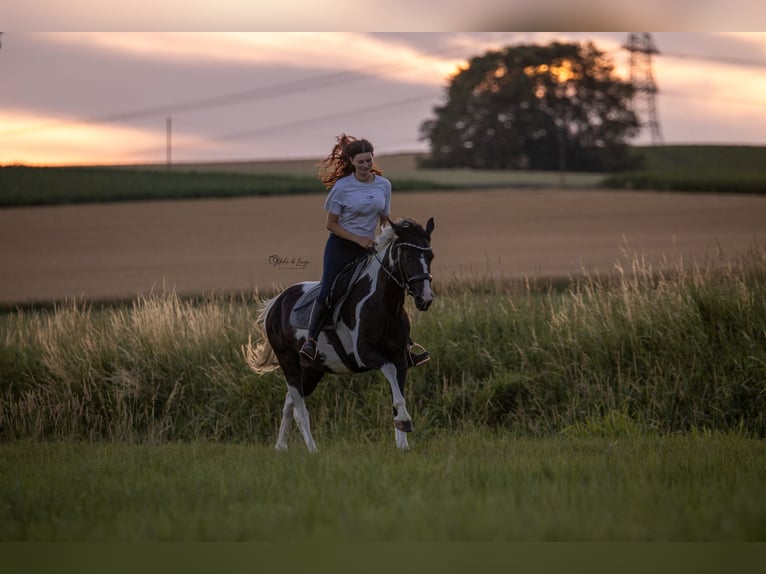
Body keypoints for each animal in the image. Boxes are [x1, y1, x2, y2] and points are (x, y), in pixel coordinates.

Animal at [244, 217, 435, 452]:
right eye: (407, 256)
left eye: (430, 256)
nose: (425, 299)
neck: (384, 305)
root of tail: (277, 302)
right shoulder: (366, 354)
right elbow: (392, 379)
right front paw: (405, 422)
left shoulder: (399, 356)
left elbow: (397, 395)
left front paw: (403, 444)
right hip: (288, 362)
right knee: (300, 410)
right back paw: (313, 451)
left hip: (314, 368)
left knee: (290, 401)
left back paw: (281, 447)